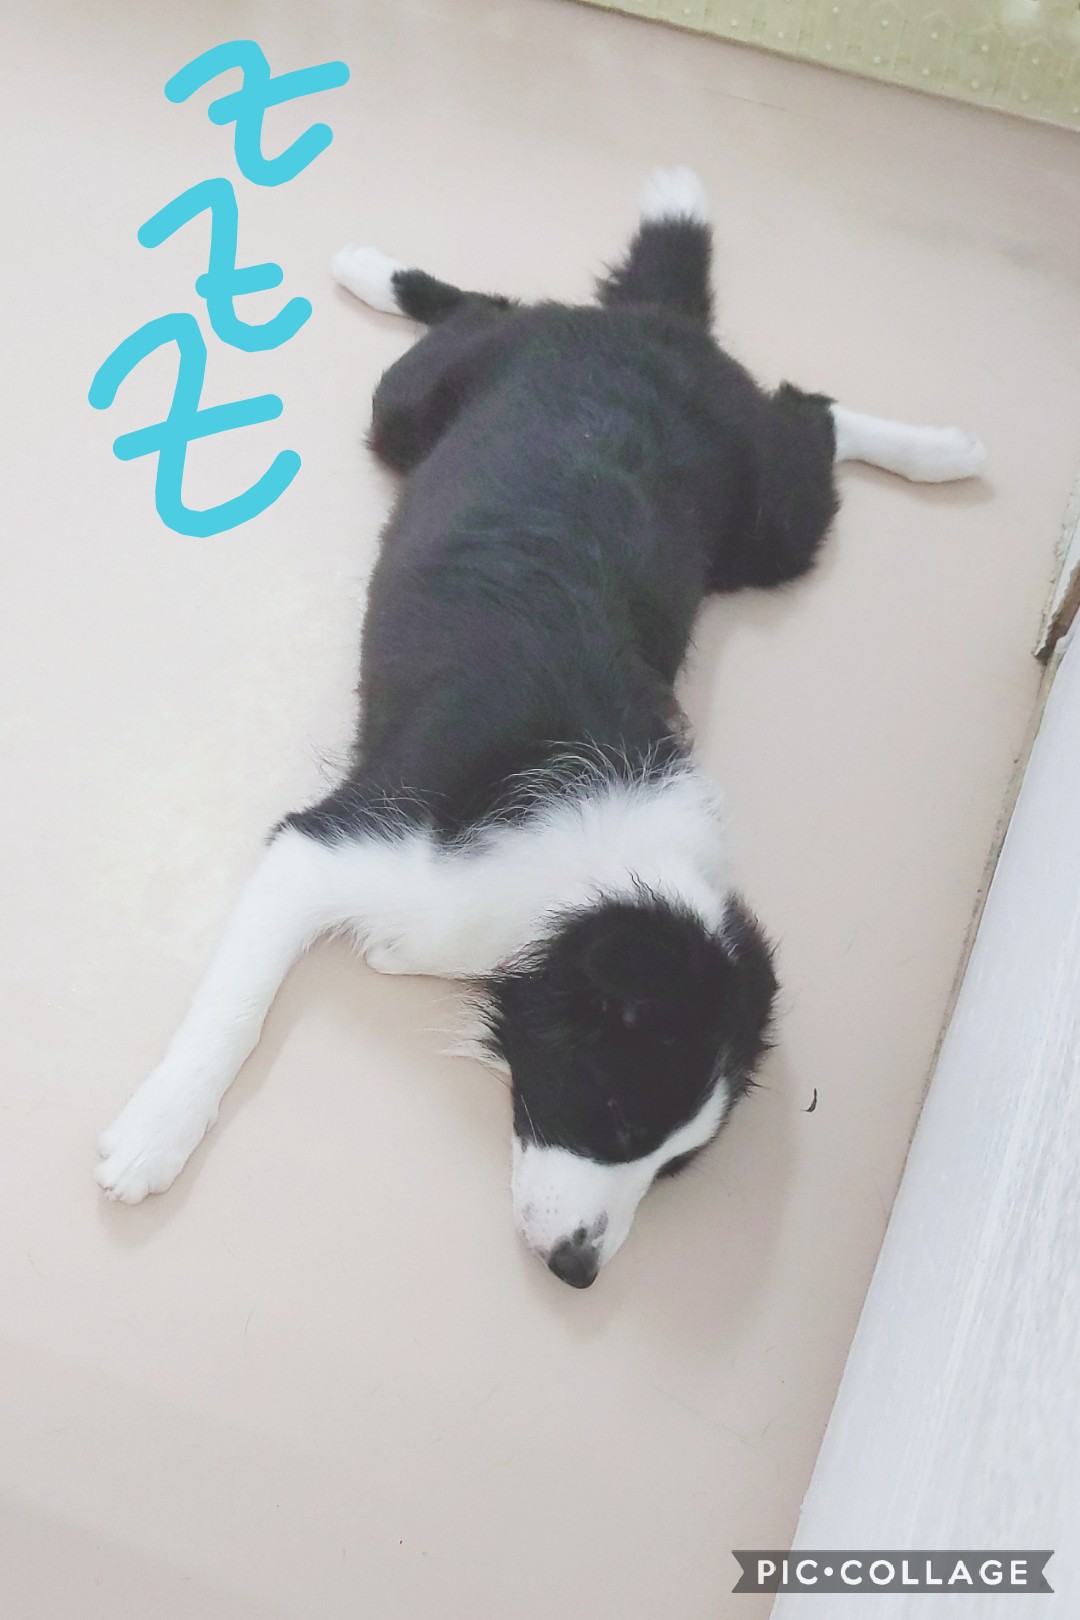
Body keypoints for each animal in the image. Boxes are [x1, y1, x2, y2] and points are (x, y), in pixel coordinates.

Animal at [95, 168, 985, 1287]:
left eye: (675, 1167)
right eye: (614, 1115)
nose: (579, 1270)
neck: (594, 883)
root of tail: (653, 327)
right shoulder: (326, 842)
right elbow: (234, 1011)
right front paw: (154, 1136)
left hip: (769, 531)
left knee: (802, 404)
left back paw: (944, 450)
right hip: (410, 411)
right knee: (501, 311)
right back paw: (370, 267)